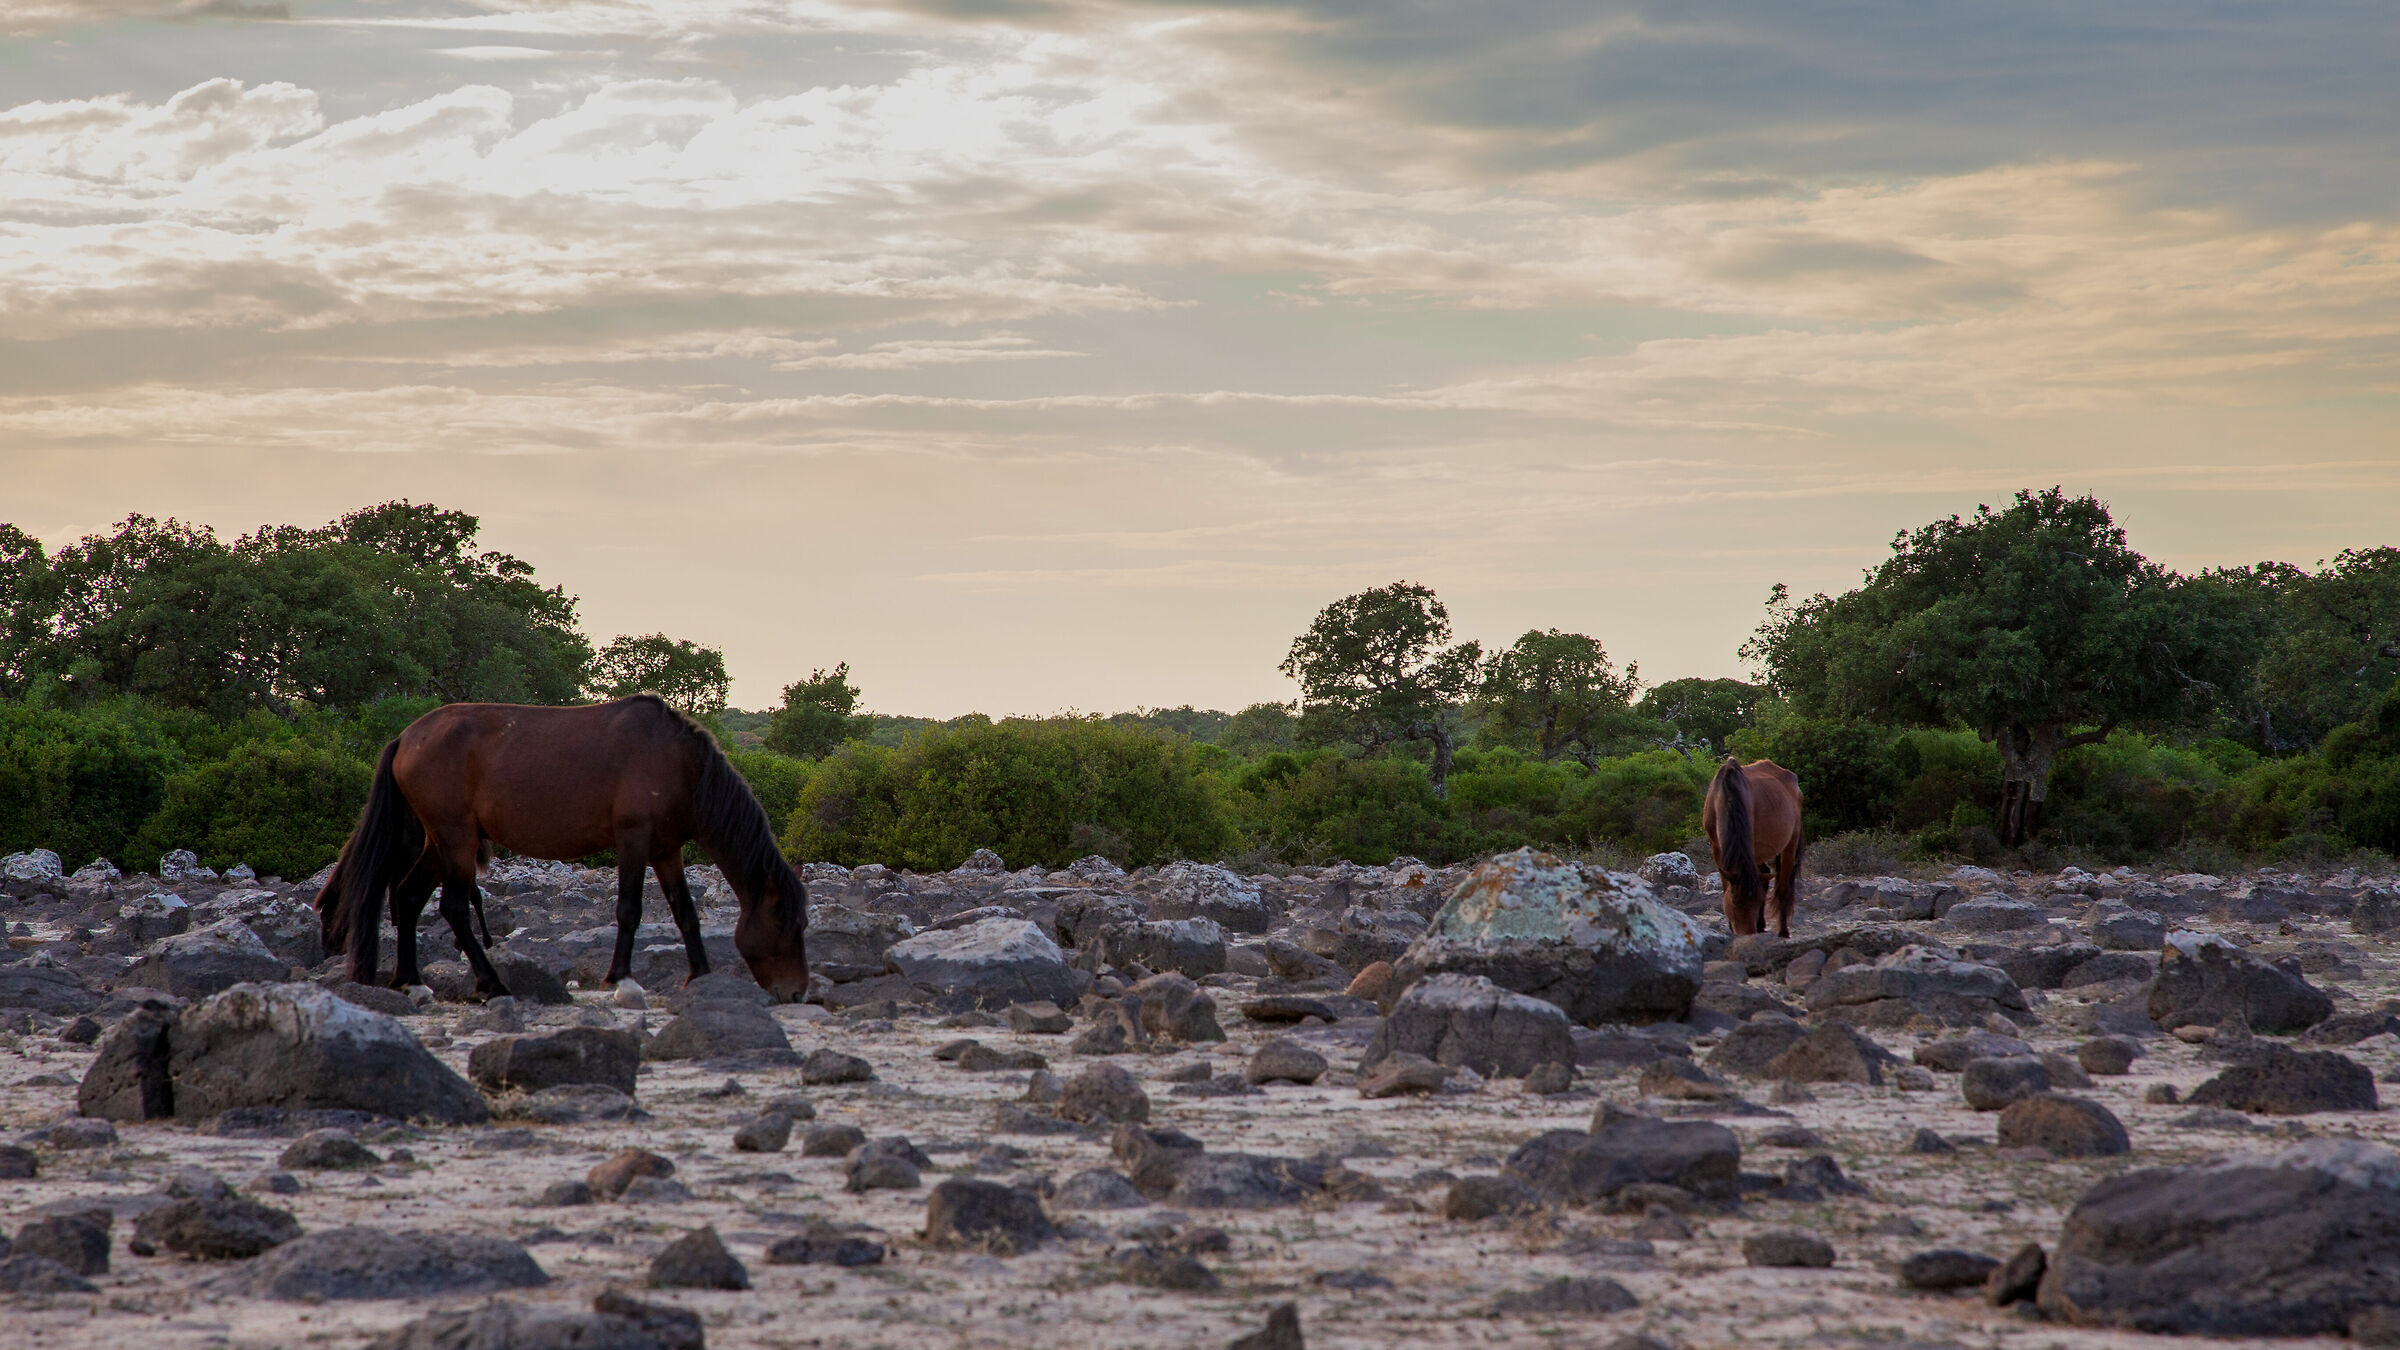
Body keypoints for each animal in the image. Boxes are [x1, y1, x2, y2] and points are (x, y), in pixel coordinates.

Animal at [315, 694, 809, 1002]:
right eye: (786, 921)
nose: (797, 992)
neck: (678, 762)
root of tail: (405, 738)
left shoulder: (667, 851)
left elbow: (686, 913)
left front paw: (701, 976)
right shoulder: (633, 839)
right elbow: (629, 910)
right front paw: (622, 980)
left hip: (442, 843)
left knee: (409, 896)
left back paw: (412, 982)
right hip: (456, 839)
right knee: (453, 907)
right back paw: (492, 983)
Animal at [1702, 755, 1804, 938]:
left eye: (1757, 902)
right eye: (1734, 901)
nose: (1747, 934)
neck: (1727, 797)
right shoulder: (1716, 848)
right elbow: (1726, 885)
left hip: (1790, 843)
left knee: (1783, 886)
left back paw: (1783, 931)